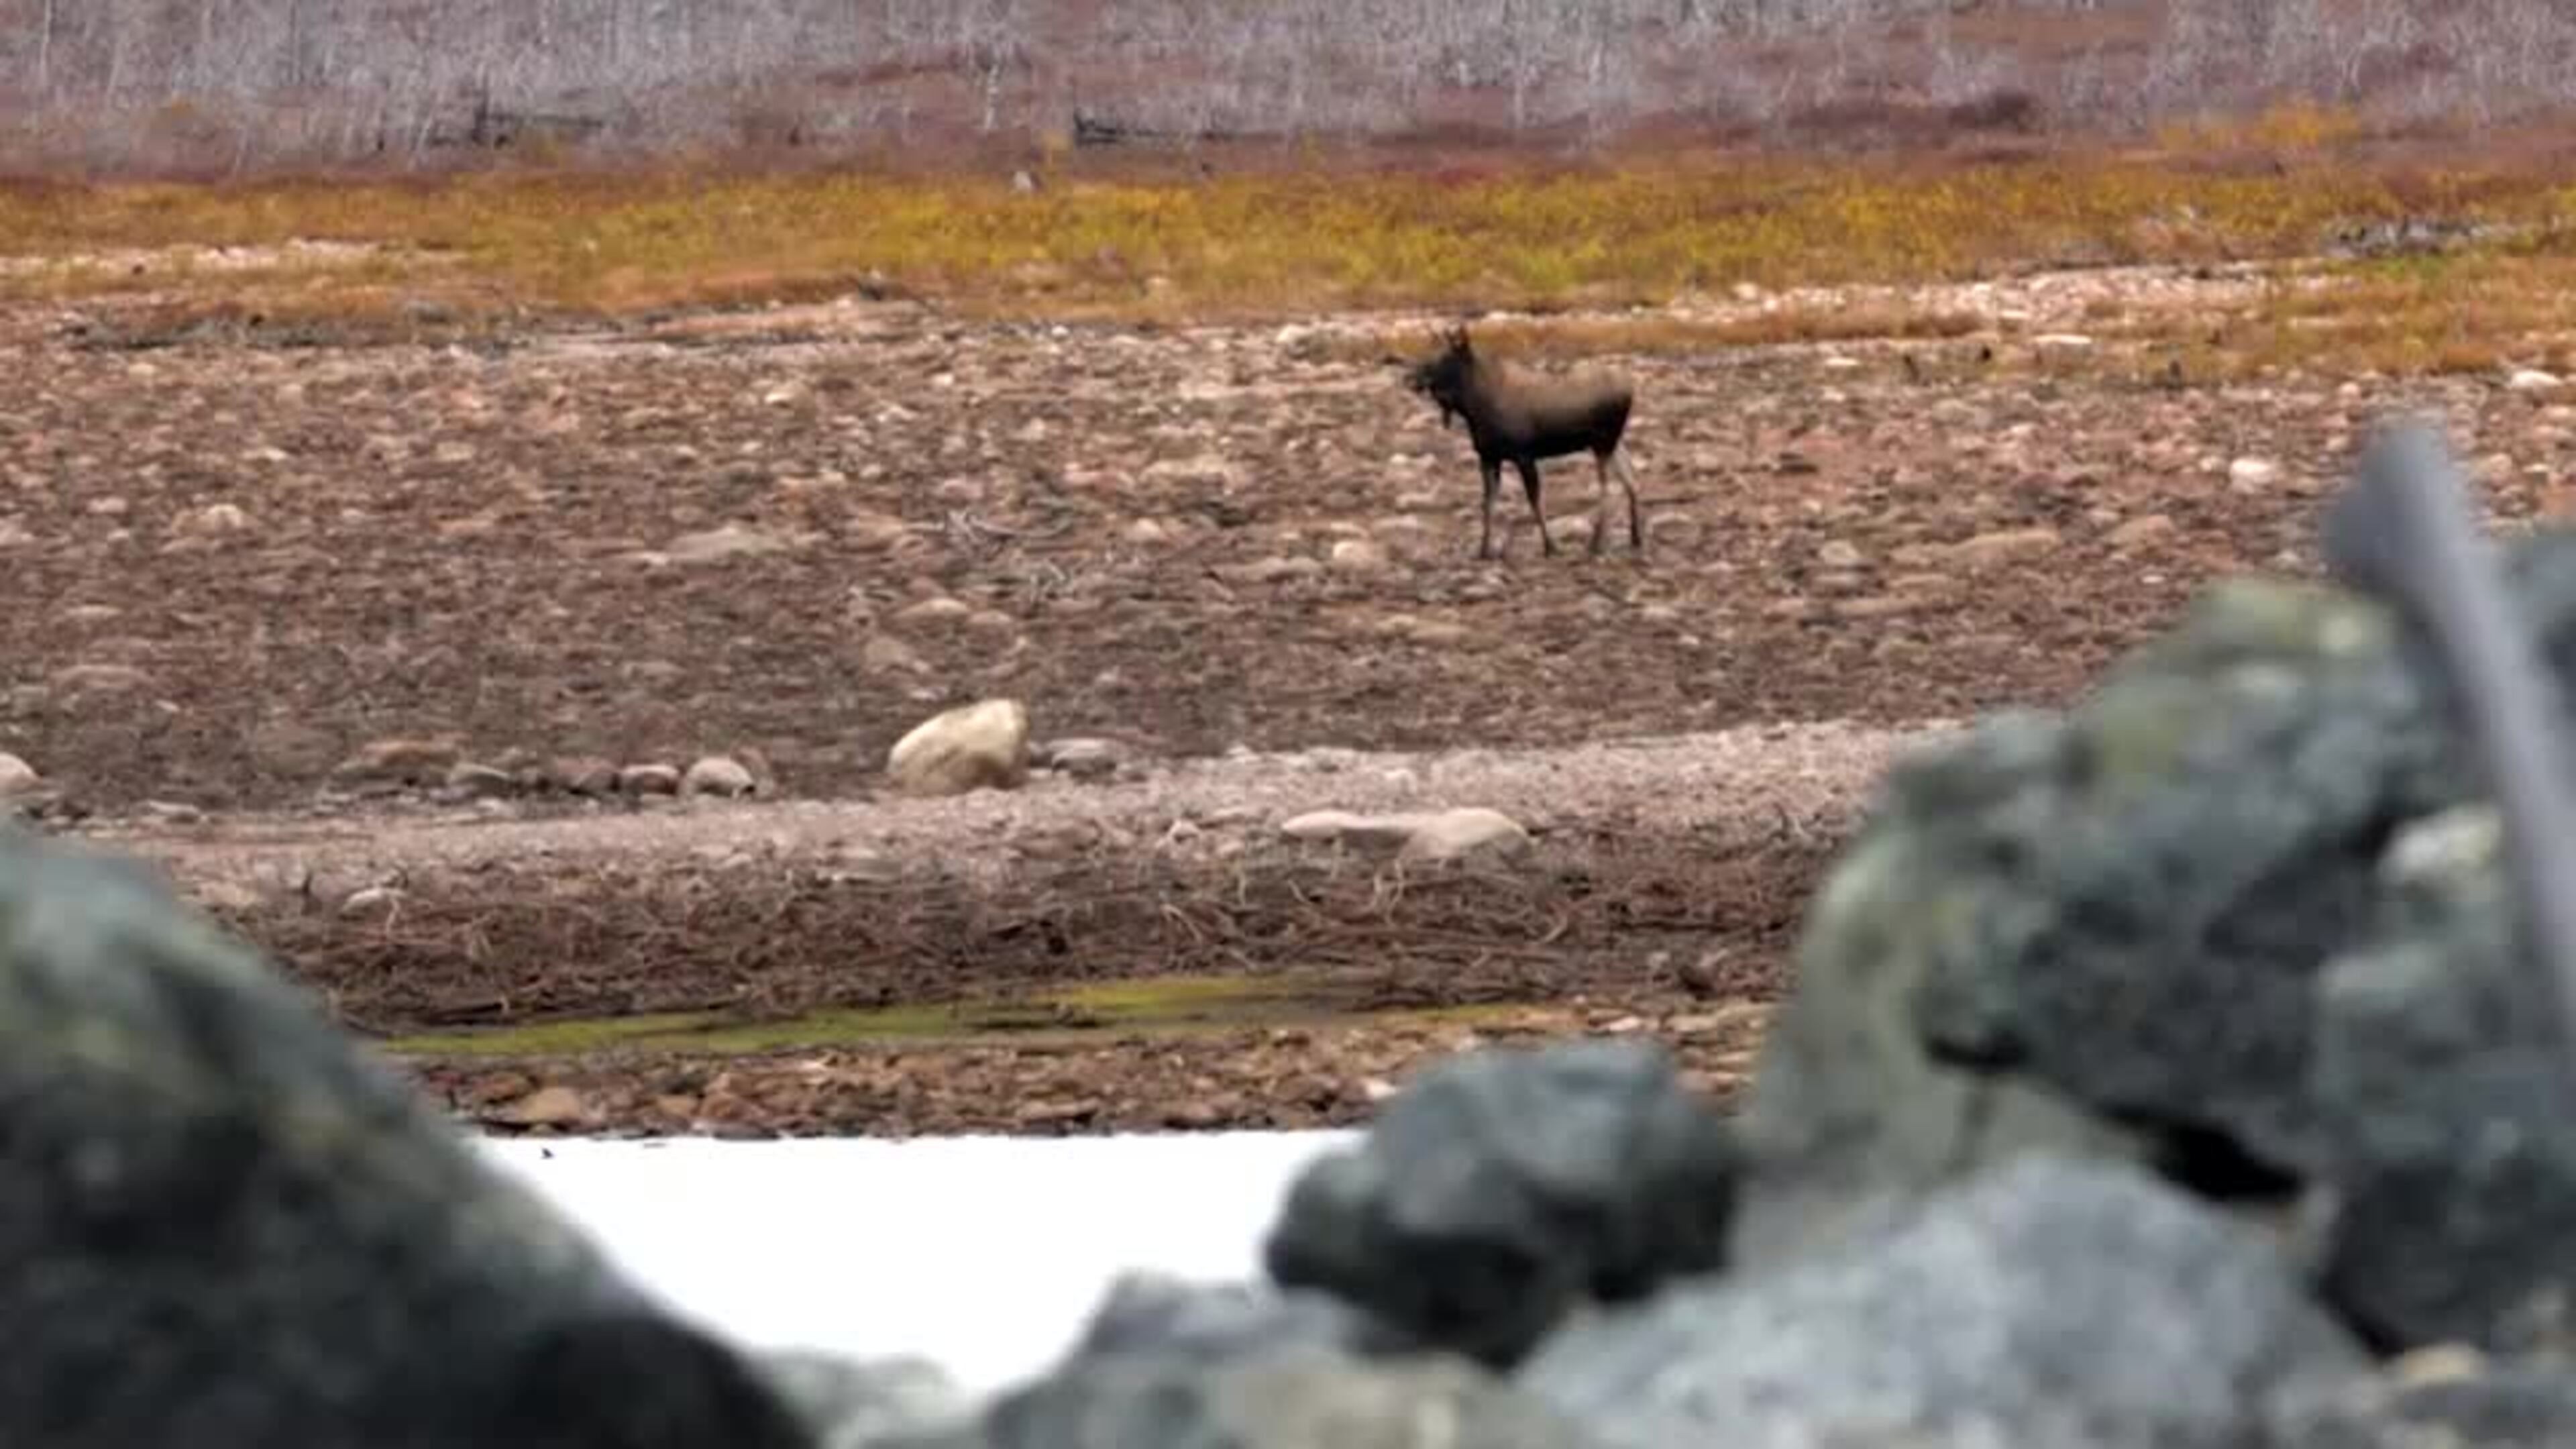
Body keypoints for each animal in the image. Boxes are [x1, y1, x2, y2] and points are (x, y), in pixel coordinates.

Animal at [1402, 324, 1646, 562]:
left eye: (1445, 357)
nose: (1410, 378)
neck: (1474, 409)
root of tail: (1631, 389)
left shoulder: (1524, 456)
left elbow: (1534, 501)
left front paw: (1550, 546)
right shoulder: (1488, 457)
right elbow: (1488, 503)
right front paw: (1484, 549)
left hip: (1603, 443)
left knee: (1607, 487)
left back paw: (1596, 543)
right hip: (1613, 442)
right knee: (1631, 479)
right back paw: (1635, 537)